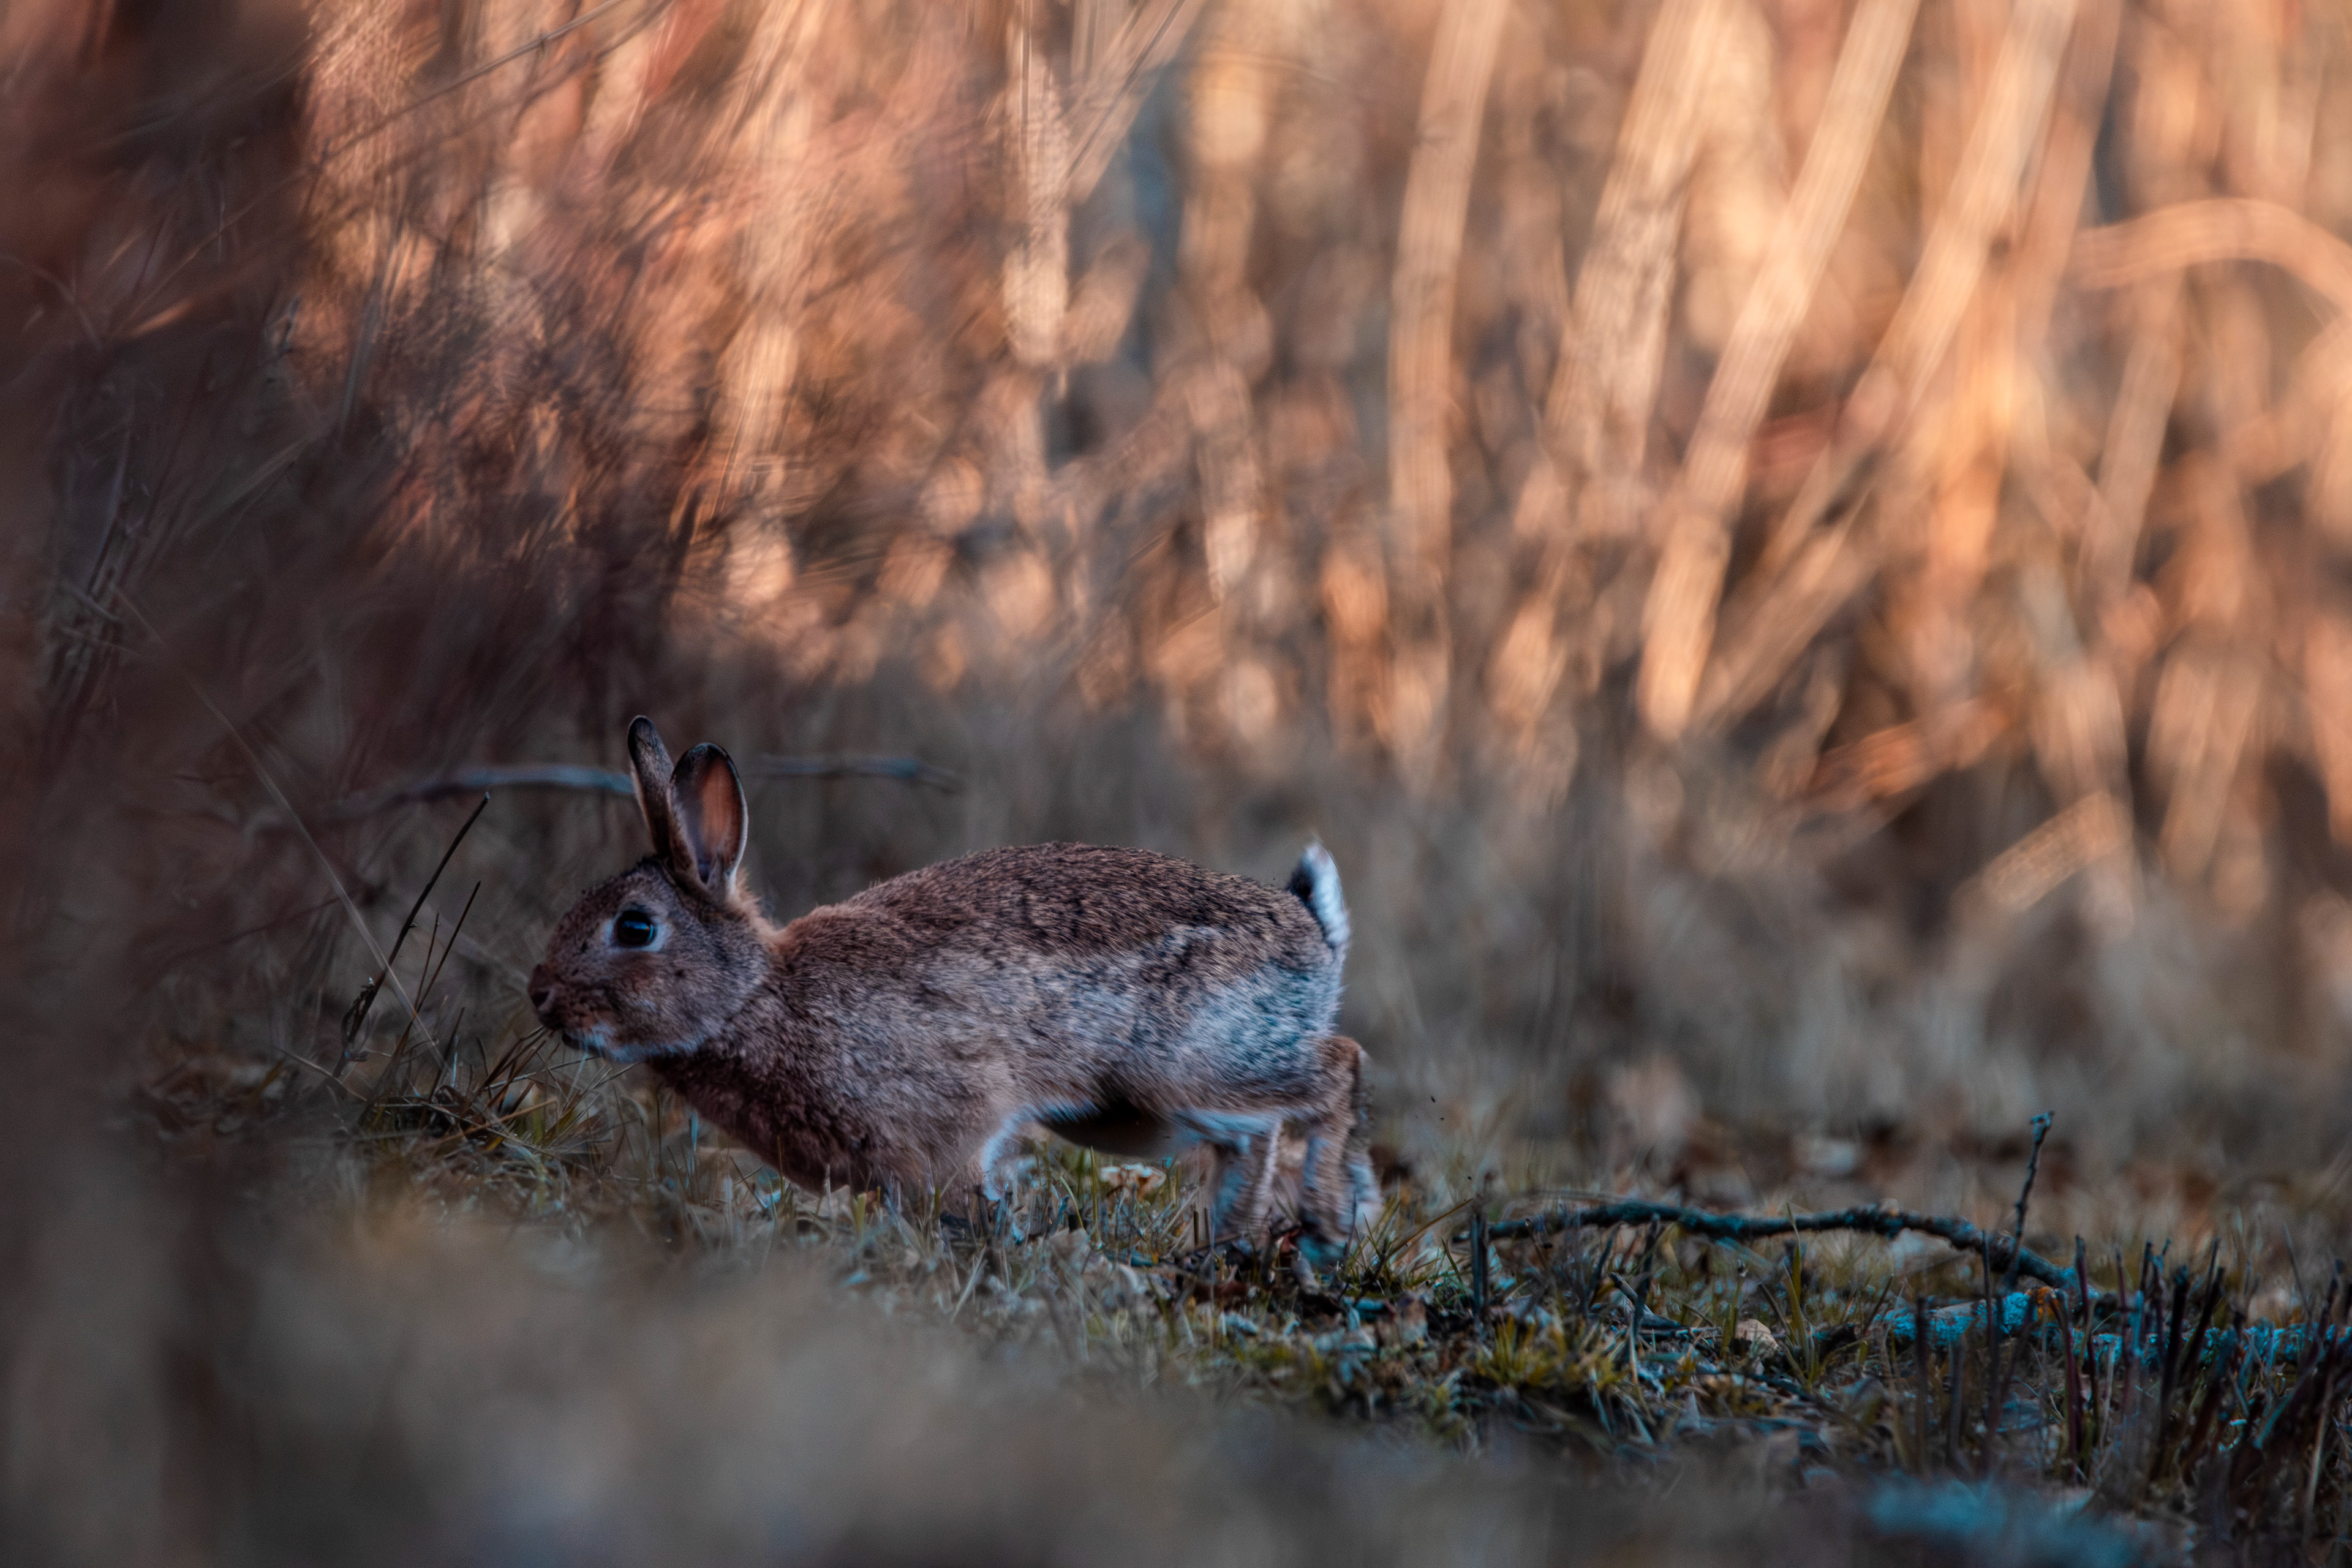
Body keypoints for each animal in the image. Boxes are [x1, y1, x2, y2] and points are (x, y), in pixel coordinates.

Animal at [527, 717, 1381, 1260]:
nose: (540, 993)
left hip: (1186, 1066)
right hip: (1134, 1114)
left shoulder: (950, 1122)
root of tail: (1312, 931)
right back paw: (1234, 1243)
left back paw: (1328, 1219)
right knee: (1255, 1134)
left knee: (1338, 1066)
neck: (755, 994)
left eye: (635, 927)